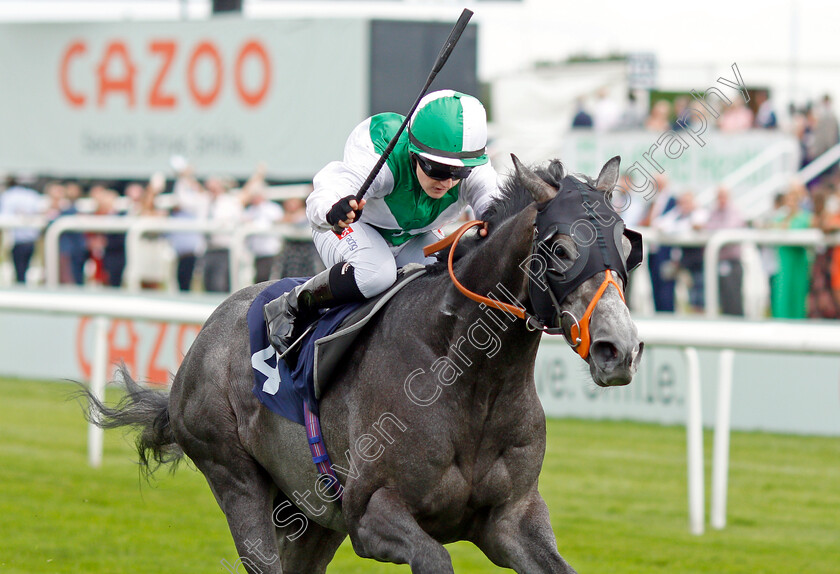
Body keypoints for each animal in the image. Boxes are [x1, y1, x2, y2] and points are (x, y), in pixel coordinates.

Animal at [85, 155, 644, 572]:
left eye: (626, 244)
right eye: (561, 247)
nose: (619, 348)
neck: (471, 379)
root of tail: (205, 334)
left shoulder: (513, 519)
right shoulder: (371, 512)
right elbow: (434, 558)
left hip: (311, 517)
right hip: (235, 478)